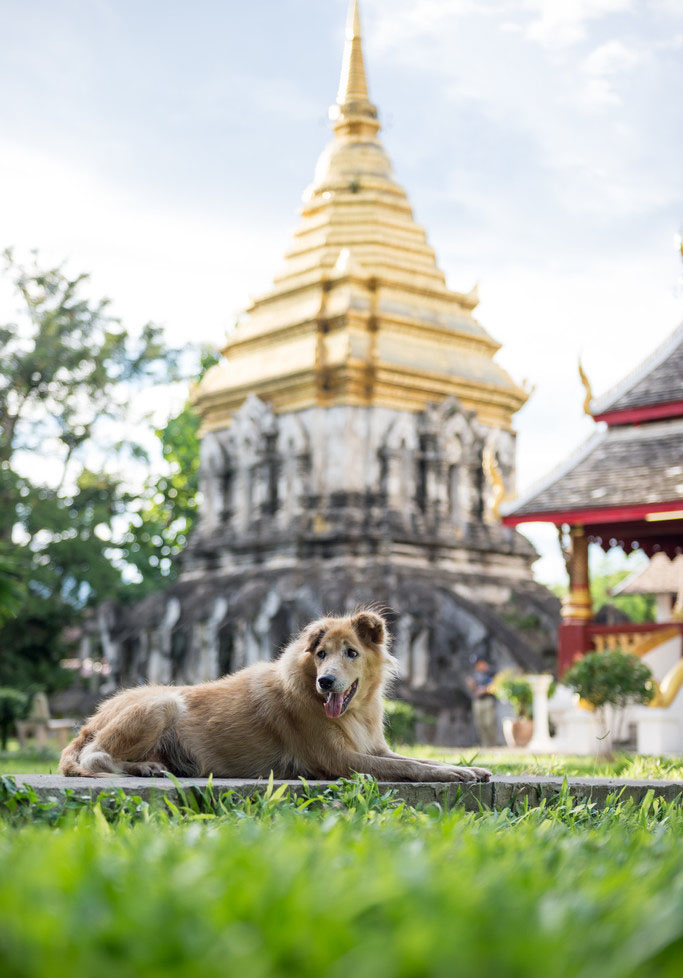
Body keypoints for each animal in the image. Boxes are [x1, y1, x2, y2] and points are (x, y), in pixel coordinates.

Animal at [60, 608, 492, 784]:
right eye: (321, 655)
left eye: (351, 652)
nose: (326, 682)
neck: (355, 710)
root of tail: (90, 721)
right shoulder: (339, 759)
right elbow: (412, 768)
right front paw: (454, 773)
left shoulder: (377, 749)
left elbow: (419, 759)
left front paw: (468, 768)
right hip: (162, 703)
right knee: (95, 757)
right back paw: (145, 768)